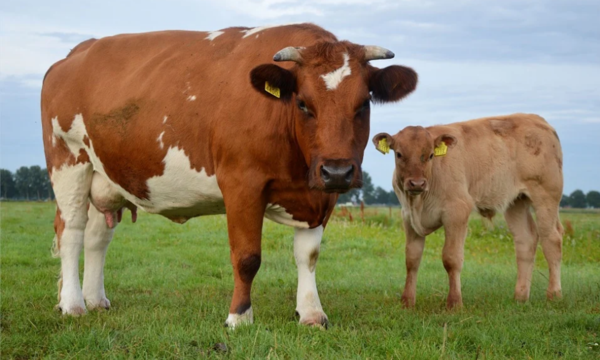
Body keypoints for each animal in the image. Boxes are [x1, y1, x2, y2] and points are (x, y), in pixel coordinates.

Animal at [41, 22, 418, 326]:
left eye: (364, 103)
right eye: (302, 103)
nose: (337, 171)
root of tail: (75, 53)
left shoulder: (321, 195)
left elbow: (308, 256)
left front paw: (311, 313)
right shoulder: (242, 185)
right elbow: (247, 257)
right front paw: (239, 317)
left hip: (104, 177)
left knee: (96, 236)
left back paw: (95, 300)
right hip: (69, 162)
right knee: (71, 232)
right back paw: (73, 304)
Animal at [372, 114, 564, 308]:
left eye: (431, 155)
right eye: (399, 154)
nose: (417, 183)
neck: (419, 202)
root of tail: (537, 119)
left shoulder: (457, 212)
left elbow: (451, 258)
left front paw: (455, 303)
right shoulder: (408, 217)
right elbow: (412, 259)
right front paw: (407, 302)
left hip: (546, 197)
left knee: (552, 240)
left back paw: (554, 294)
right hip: (515, 202)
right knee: (526, 240)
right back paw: (520, 296)